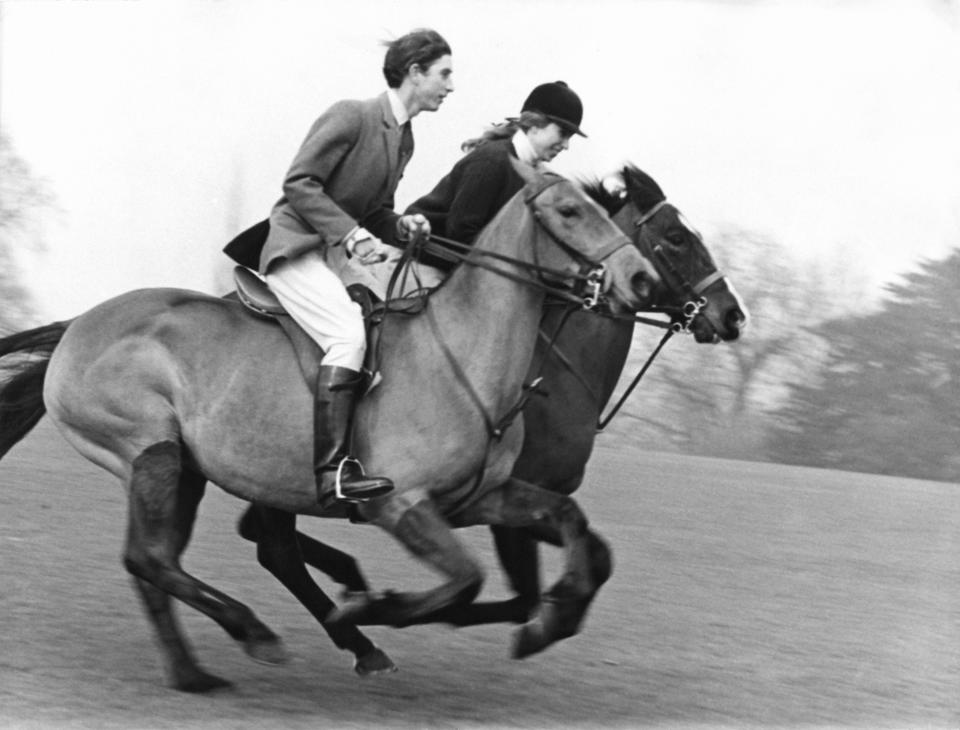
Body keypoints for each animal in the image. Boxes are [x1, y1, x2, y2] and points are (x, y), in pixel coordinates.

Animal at [0, 162, 660, 692]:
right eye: (570, 211)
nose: (641, 280)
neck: (468, 356)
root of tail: (80, 324)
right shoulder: (401, 505)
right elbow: (466, 580)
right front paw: (365, 608)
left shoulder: (483, 497)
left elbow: (568, 523)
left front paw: (555, 616)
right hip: (150, 452)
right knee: (155, 557)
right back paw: (258, 633)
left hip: (186, 470)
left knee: (156, 560)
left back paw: (196, 670)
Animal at [234, 165, 752, 656]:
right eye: (677, 237)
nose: (733, 315)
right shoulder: (497, 506)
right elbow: (529, 592)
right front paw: (533, 624)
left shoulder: (509, 499)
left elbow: (594, 554)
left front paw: (554, 613)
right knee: (275, 548)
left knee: (262, 536)